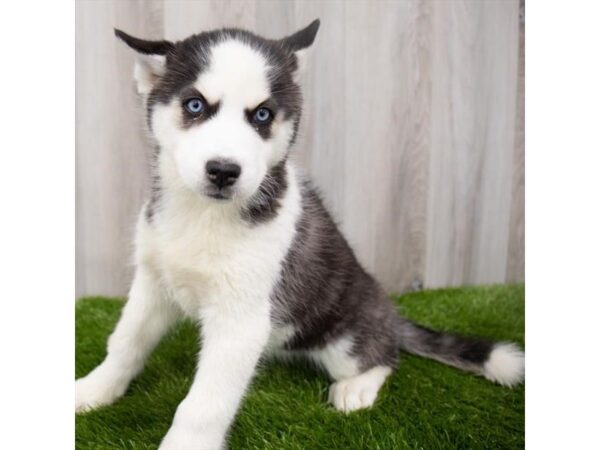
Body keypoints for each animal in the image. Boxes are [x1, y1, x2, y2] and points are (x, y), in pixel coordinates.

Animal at [76, 21, 524, 450]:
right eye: (195, 105)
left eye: (262, 115)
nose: (223, 171)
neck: (204, 214)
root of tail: (390, 312)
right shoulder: (153, 282)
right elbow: (126, 341)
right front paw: (96, 389)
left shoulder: (241, 320)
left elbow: (203, 404)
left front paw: (185, 444)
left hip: (345, 335)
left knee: (385, 356)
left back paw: (357, 386)